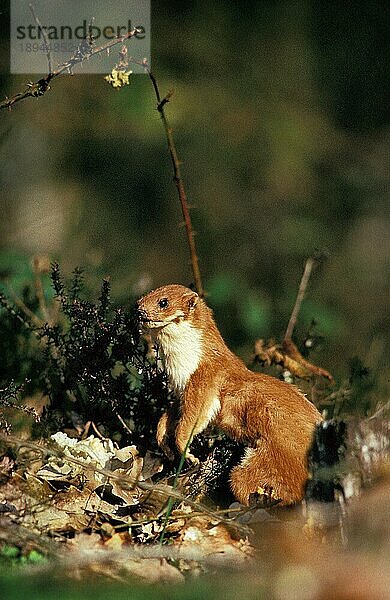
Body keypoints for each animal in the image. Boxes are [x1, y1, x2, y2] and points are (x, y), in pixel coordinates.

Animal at [137, 284, 322, 504]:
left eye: (163, 301)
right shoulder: (181, 394)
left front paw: (188, 454)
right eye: (147, 295)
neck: (181, 370)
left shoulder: (204, 382)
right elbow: (168, 417)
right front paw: (163, 441)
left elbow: (192, 420)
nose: (138, 309)